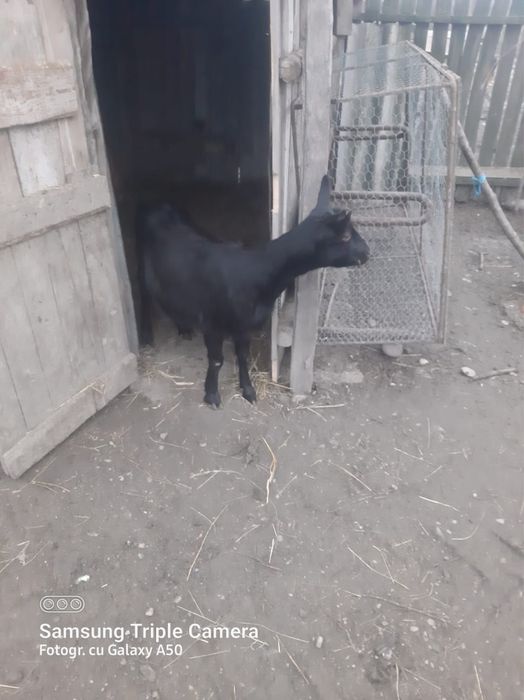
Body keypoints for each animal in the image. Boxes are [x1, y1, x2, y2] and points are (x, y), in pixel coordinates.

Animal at [137, 176, 369, 407]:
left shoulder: (244, 325)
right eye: (346, 236)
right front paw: (211, 395)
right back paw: (149, 335)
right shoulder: (213, 323)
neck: (255, 273)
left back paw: (183, 328)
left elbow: (243, 357)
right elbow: (217, 360)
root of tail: (158, 204)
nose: (367, 252)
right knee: (146, 297)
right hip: (143, 267)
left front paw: (248, 390)